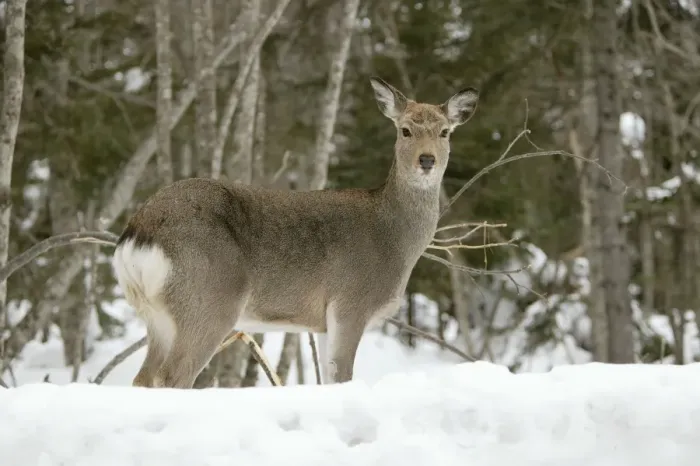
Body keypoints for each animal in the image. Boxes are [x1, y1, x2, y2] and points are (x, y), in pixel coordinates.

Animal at [112, 77, 479, 389]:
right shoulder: (351, 302)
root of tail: (138, 232)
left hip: (157, 314)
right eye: (405, 130)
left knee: (143, 378)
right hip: (209, 297)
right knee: (172, 376)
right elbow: (343, 376)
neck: (394, 241)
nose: (427, 160)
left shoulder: (323, 322)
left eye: (445, 132)